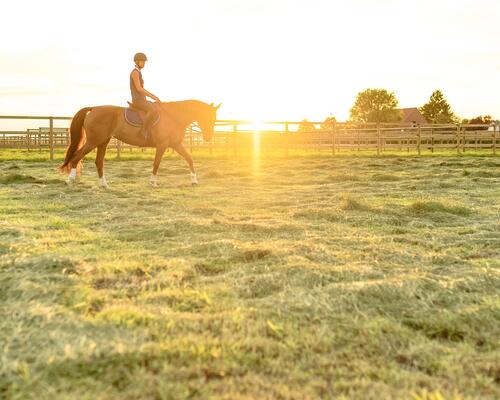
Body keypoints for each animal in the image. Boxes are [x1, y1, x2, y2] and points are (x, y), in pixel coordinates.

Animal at [61, 100, 221, 188]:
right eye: (208, 117)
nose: (208, 137)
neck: (173, 116)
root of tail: (94, 108)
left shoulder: (176, 144)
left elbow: (190, 159)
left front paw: (194, 181)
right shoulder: (162, 145)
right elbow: (156, 163)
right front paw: (153, 182)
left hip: (103, 142)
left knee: (98, 161)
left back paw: (104, 185)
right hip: (93, 141)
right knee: (77, 156)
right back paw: (69, 180)